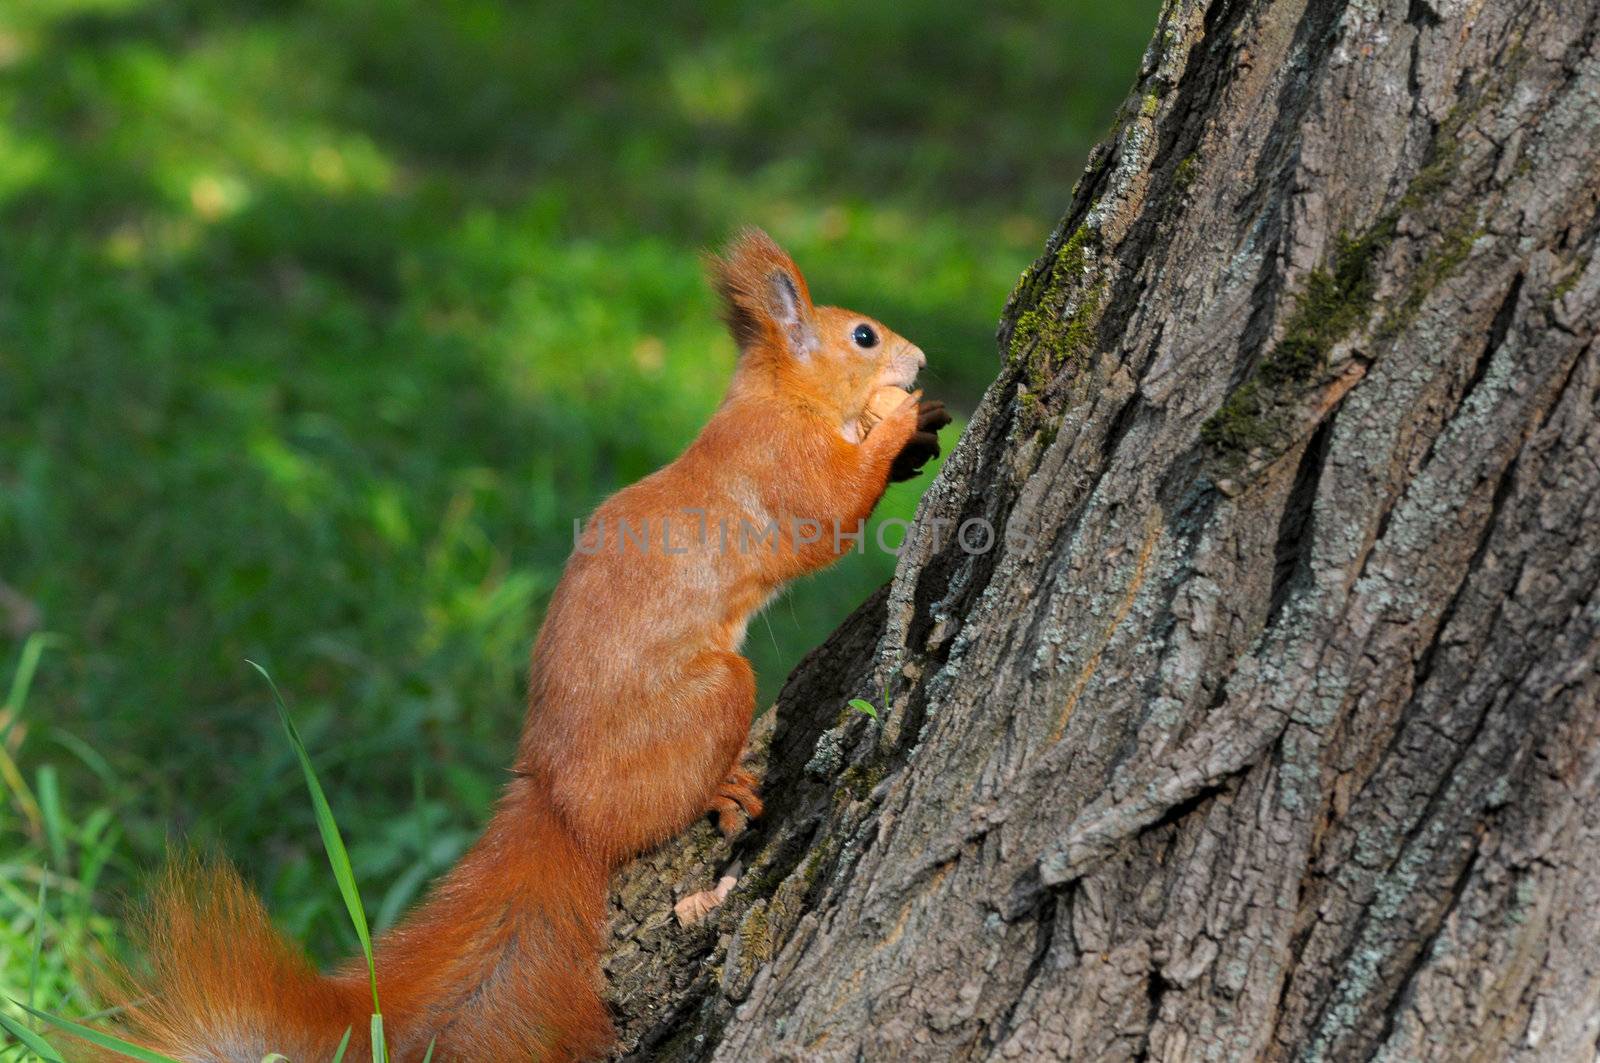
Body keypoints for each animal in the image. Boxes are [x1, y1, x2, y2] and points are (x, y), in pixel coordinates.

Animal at [112, 228, 953, 1056]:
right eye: (864, 335)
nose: (919, 359)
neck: (779, 397)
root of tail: (558, 798)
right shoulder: (783, 466)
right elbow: (834, 508)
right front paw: (899, 420)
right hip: (716, 694)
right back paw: (721, 790)